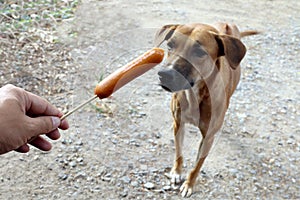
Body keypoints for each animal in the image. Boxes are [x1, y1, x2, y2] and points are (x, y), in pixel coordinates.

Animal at [155, 23, 258, 197]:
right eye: (170, 45)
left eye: (199, 52)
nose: (165, 74)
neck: (194, 95)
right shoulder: (179, 124)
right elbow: (178, 153)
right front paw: (176, 172)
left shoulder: (208, 138)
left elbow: (197, 166)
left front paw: (189, 184)